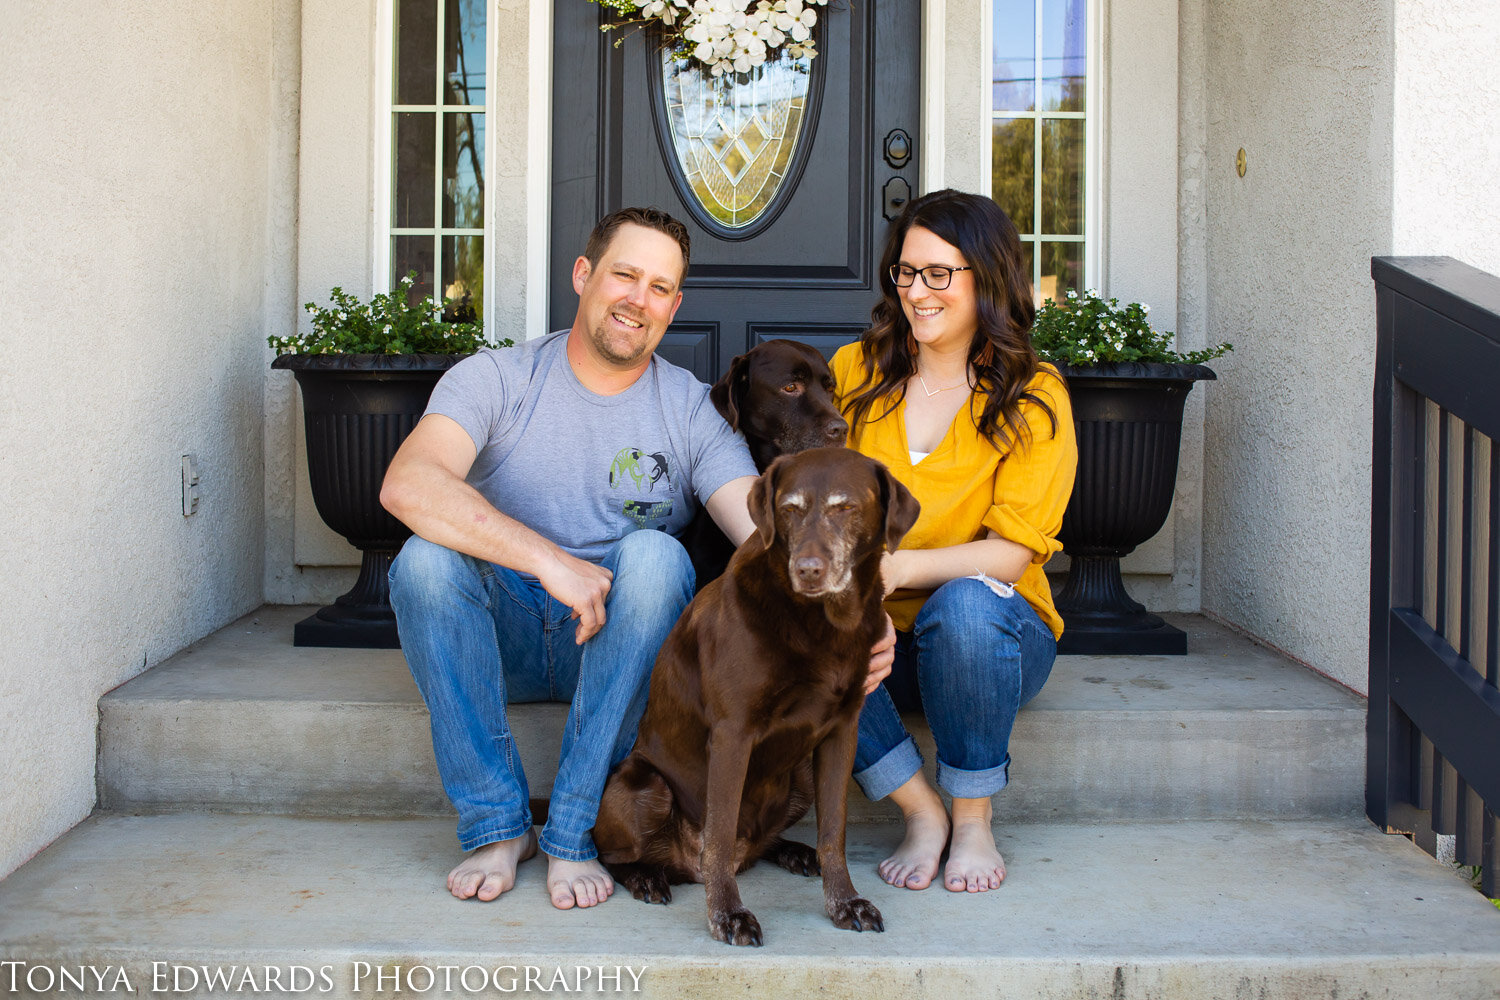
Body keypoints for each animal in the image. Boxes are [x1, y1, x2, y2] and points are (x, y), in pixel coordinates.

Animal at [591, 446, 918, 947]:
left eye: (846, 507)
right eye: (789, 509)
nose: (808, 570)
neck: (821, 621)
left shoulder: (842, 732)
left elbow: (834, 833)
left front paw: (845, 902)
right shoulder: (732, 735)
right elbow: (719, 835)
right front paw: (728, 914)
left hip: (800, 775)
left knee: (761, 843)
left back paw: (793, 851)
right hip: (646, 784)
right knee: (615, 854)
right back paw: (647, 876)